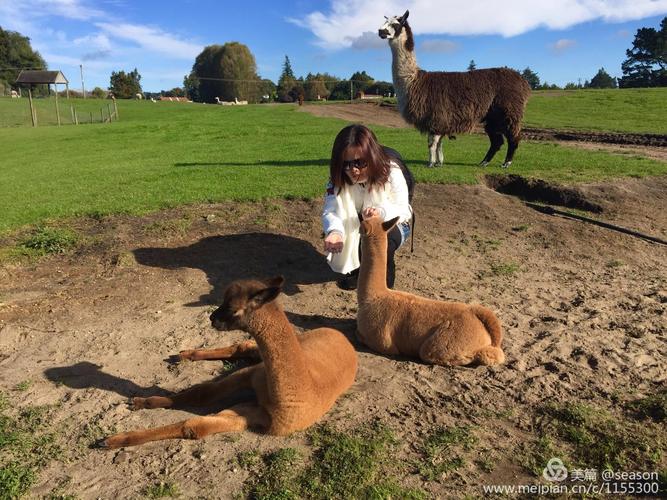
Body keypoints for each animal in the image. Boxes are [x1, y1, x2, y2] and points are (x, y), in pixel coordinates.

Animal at [380, 10, 532, 168]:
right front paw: (439, 163)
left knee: (513, 137)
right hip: (493, 115)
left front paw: (431, 163)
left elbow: (432, 144)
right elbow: (439, 144)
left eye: (395, 24)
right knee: (497, 141)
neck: (414, 81)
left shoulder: (436, 116)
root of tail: (523, 82)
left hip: (509, 110)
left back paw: (506, 163)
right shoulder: (440, 119)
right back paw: (484, 162)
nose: (380, 31)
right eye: (384, 22)